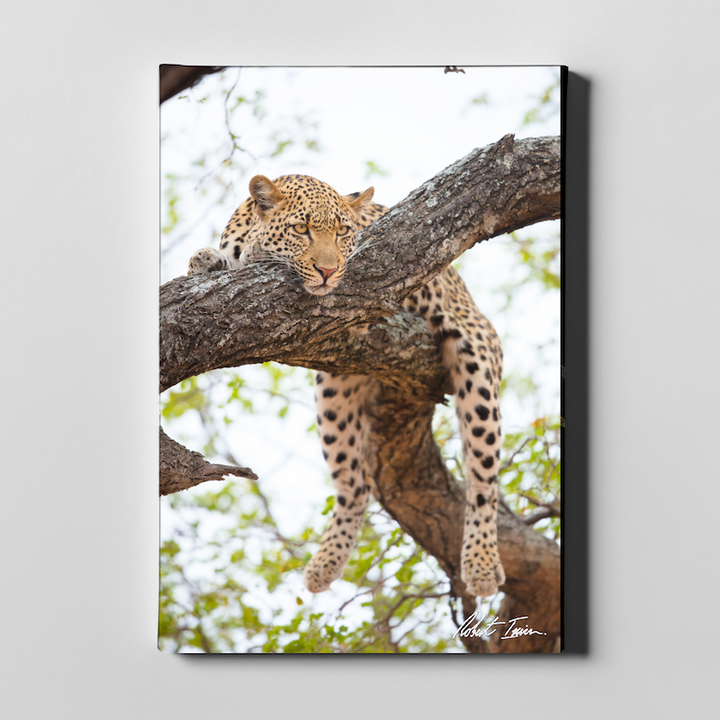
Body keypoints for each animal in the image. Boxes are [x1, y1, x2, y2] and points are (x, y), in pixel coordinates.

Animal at [188, 173, 505, 598]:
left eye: (342, 232)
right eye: (301, 230)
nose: (327, 271)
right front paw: (206, 260)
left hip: (478, 354)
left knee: (483, 480)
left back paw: (482, 564)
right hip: (333, 392)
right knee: (355, 485)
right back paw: (325, 564)